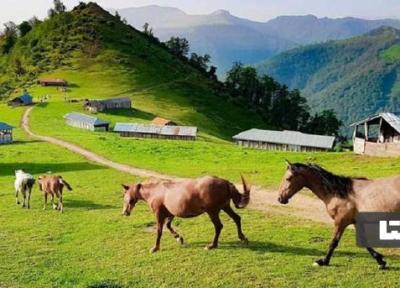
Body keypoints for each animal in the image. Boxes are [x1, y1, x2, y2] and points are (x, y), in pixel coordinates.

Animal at [122, 176, 250, 252]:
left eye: (125, 196)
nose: (124, 212)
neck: (156, 191)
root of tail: (225, 183)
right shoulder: (171, 214)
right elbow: (168, 226)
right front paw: (179, 238)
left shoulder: (159, 215)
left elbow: (159, 231)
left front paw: (155, 248)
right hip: (225, 207)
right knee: (237, 218)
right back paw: (242, 238)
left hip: (213, 212)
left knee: (219, 226)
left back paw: (212, 245)